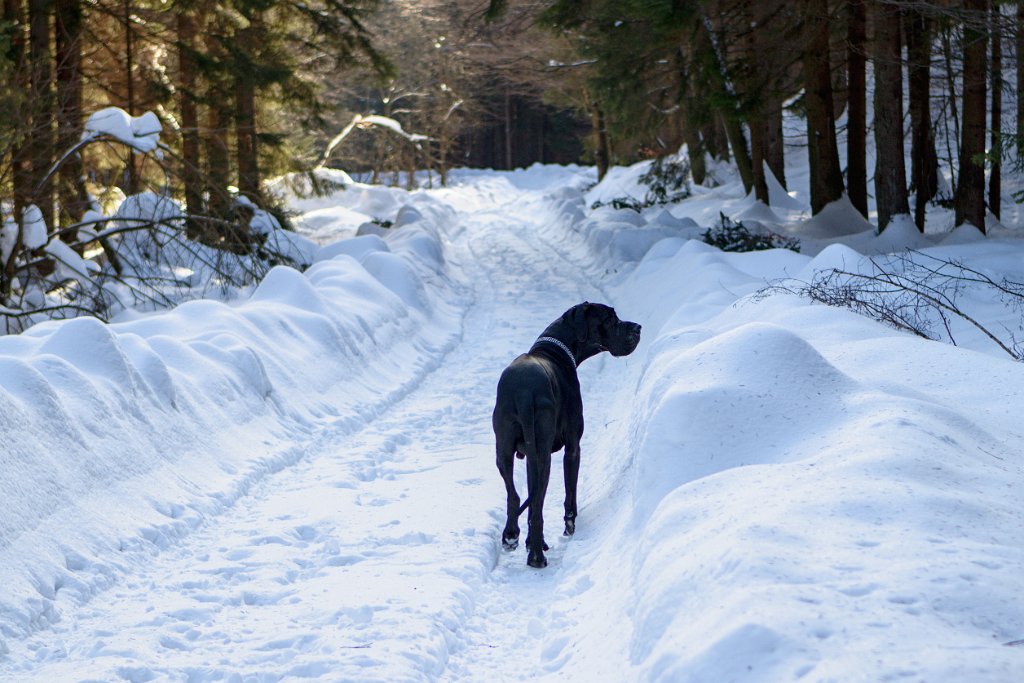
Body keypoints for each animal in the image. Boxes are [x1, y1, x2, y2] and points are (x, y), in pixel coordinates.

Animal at [493, 303, 643, 565]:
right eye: (610, 319)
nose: (637, 327)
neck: (556, 348)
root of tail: (523, 392)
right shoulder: (573, 447)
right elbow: (569, 494)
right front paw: (568, 527)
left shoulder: (529, 456)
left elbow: (530, 499)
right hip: (544, 455)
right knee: (537, 505)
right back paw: (537, 556)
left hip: (505, 450)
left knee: (516, 497)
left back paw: (514, 537)